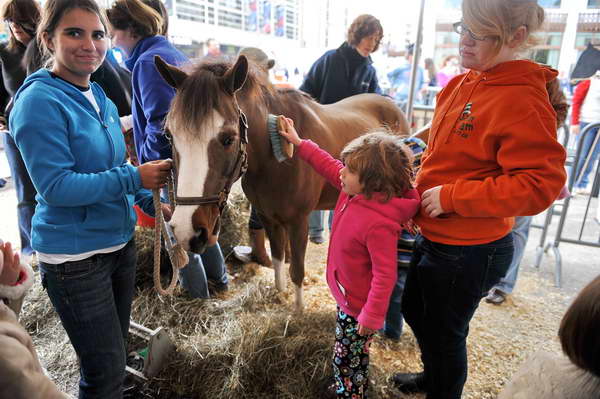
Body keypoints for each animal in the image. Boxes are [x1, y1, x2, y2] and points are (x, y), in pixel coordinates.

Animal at [155, 55, 410, 312]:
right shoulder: (268, 217)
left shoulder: (298, 222)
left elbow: (297, 269)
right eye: (169, 135)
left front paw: (298, 309)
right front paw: (279, 293)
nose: (187, 230)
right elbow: (278, 258)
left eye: (228, 138)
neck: (274, 159)